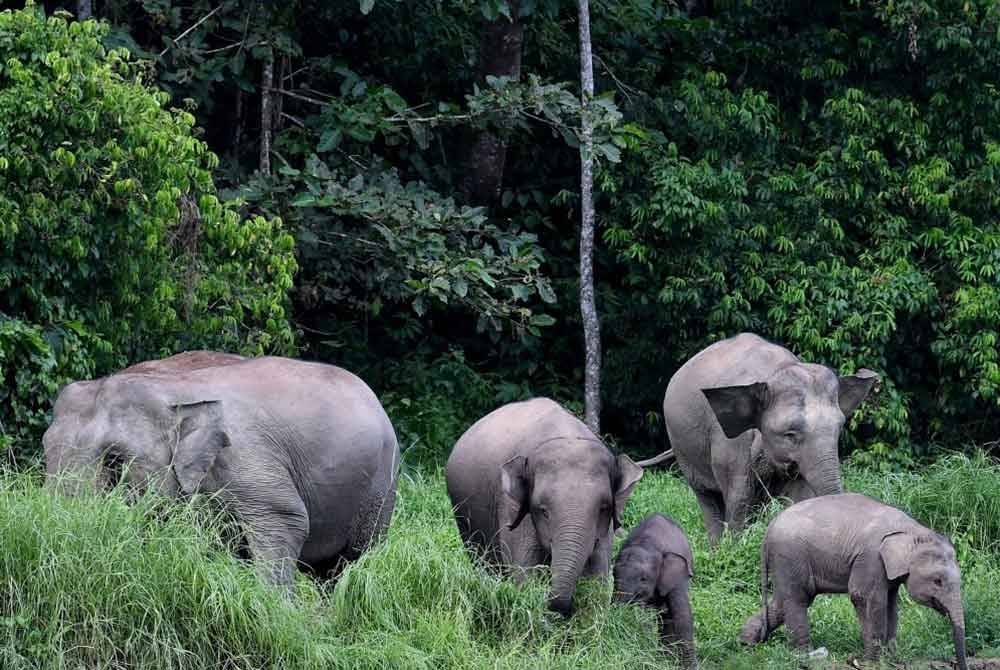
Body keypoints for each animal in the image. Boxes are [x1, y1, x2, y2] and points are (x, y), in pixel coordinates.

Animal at [42, 352, 402, 588]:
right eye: (45, 449)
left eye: (116, 461)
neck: (171, 387)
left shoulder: (246, 459)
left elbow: (287, 518)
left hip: (380, 488)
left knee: (351, 561)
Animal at [444, 400, 640, 620]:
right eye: (543, 511)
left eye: (603, 509)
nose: (561, 608)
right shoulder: (512, 506)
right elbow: (524, 570)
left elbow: (599, 572)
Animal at [640, 332, 876, 544]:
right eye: (790, 434)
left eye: (839, 428)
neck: (774, 373)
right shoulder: (731, 443)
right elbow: (739, 497)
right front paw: (734, 548)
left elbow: (797, 494)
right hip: (682, 445)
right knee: (707, 497)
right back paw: (716, 547)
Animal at [744, 494, 968, 670]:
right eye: (938, 581)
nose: (959, 665)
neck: (913, 531)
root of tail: (768, 528)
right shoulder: (871, 558)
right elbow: (864, 596)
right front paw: (875, 661)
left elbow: (891, 603)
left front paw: (891, 657)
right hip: (790, 555)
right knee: (797, 599)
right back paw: (804, 655)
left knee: (783, 602)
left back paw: (746, 641)